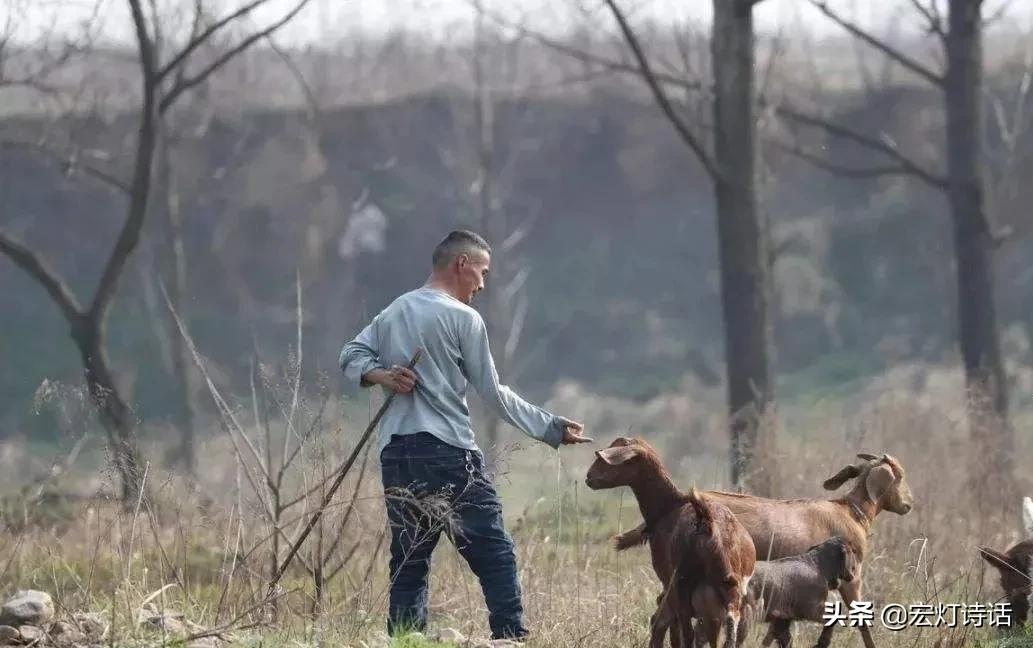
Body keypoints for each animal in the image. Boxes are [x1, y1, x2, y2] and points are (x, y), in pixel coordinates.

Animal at [586, 436, 756, 648]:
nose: (588, 477)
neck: (668, 506)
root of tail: (708, 524)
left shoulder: (669, 583)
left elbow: (671, 629)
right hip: (730, 591)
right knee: (730, 627)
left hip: (682, 586)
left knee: (686, 631)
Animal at [611, 454, 913, 648]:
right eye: (899, 475)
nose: (909, 503)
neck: (849, 511)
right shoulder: (851, 578)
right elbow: (860, 619)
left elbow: (779, 629)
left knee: (665, 616)